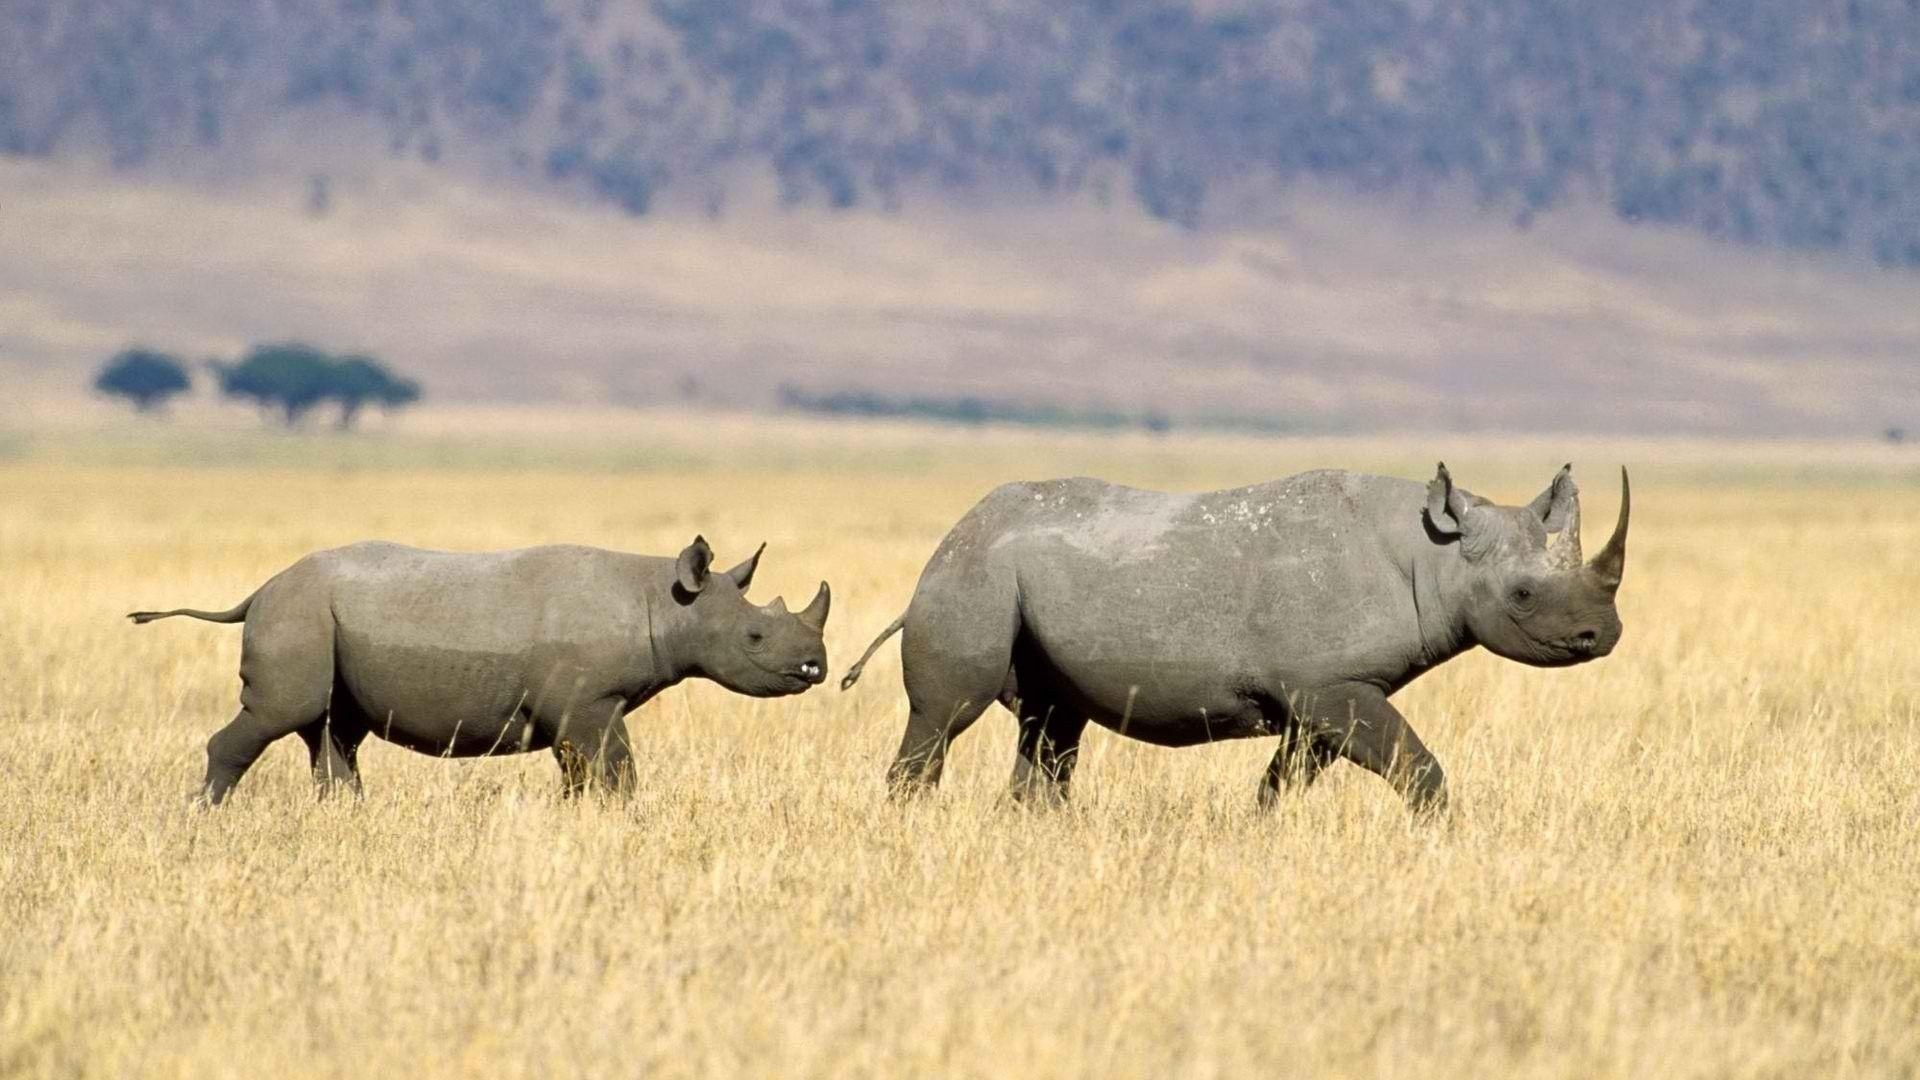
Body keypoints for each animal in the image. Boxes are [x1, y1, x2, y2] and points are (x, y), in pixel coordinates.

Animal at [135, 534, 825, 799]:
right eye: (756, 636)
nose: (814, 668)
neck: (664, 599)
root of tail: (260, 588)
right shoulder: (589, 701)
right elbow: (615, 768)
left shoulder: (581, 709)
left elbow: (585, 772)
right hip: (296, 616)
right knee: (279, 715)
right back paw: (204, 814)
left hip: (318, 619)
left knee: (333, 730)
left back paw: (345, 818)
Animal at [837, 457, 1620, 810]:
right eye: (1522, 596)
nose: (1600, 636)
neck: (1435, 553)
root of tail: (949, 539)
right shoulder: (1329, 685)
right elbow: (1416, 766)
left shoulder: (1325, 692)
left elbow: (1287, 778)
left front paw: (1262, 828)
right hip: (969, 576)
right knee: (945, 717)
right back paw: (910, 821)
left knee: (1052, 722)